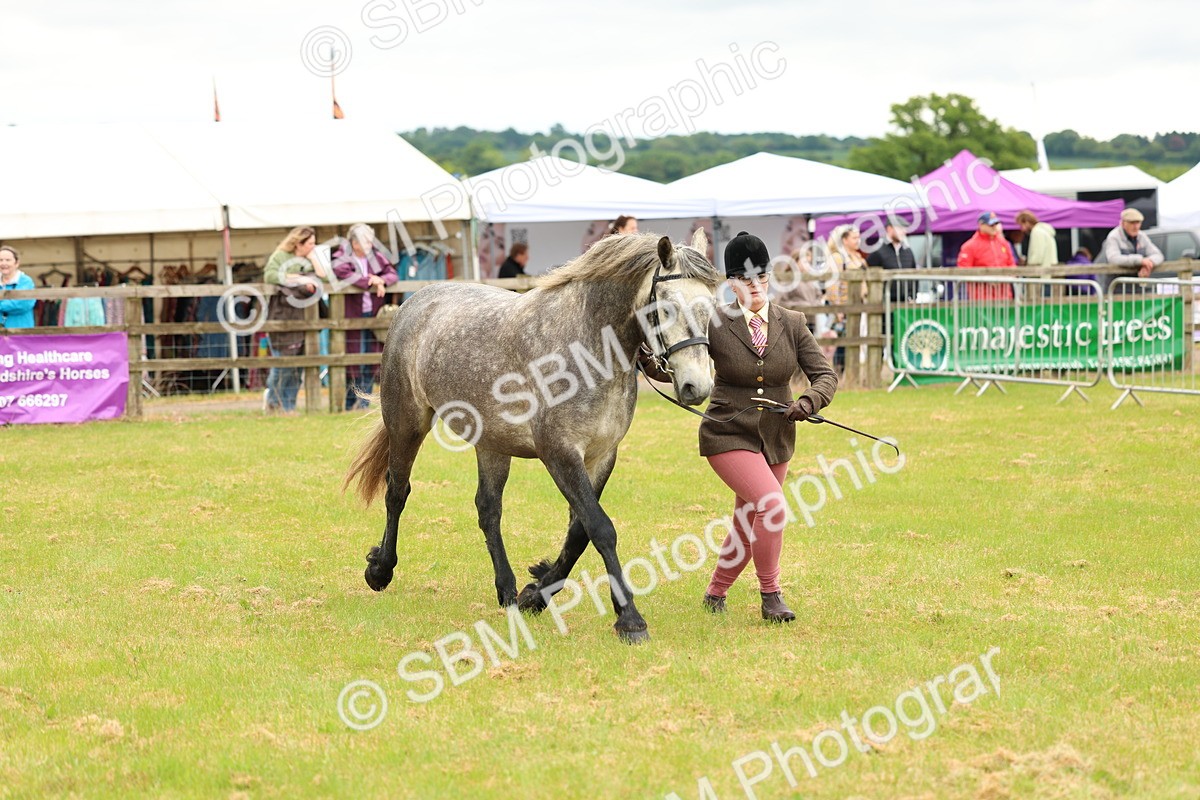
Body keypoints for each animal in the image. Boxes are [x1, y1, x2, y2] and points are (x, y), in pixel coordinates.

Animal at [344, 230, 719, 643]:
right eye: (667, 308)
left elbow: (579, 533)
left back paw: (507, 590)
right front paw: (631, 620)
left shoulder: (602, 456)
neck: (585, 347)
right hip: (407, 423)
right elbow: (600, 528)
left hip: (491, 444)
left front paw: (535, 592)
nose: (696, 387)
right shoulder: (560, 454)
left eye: (712, 307)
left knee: (488, 510)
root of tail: (413, 303)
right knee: (397, 491)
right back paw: (380, 570)